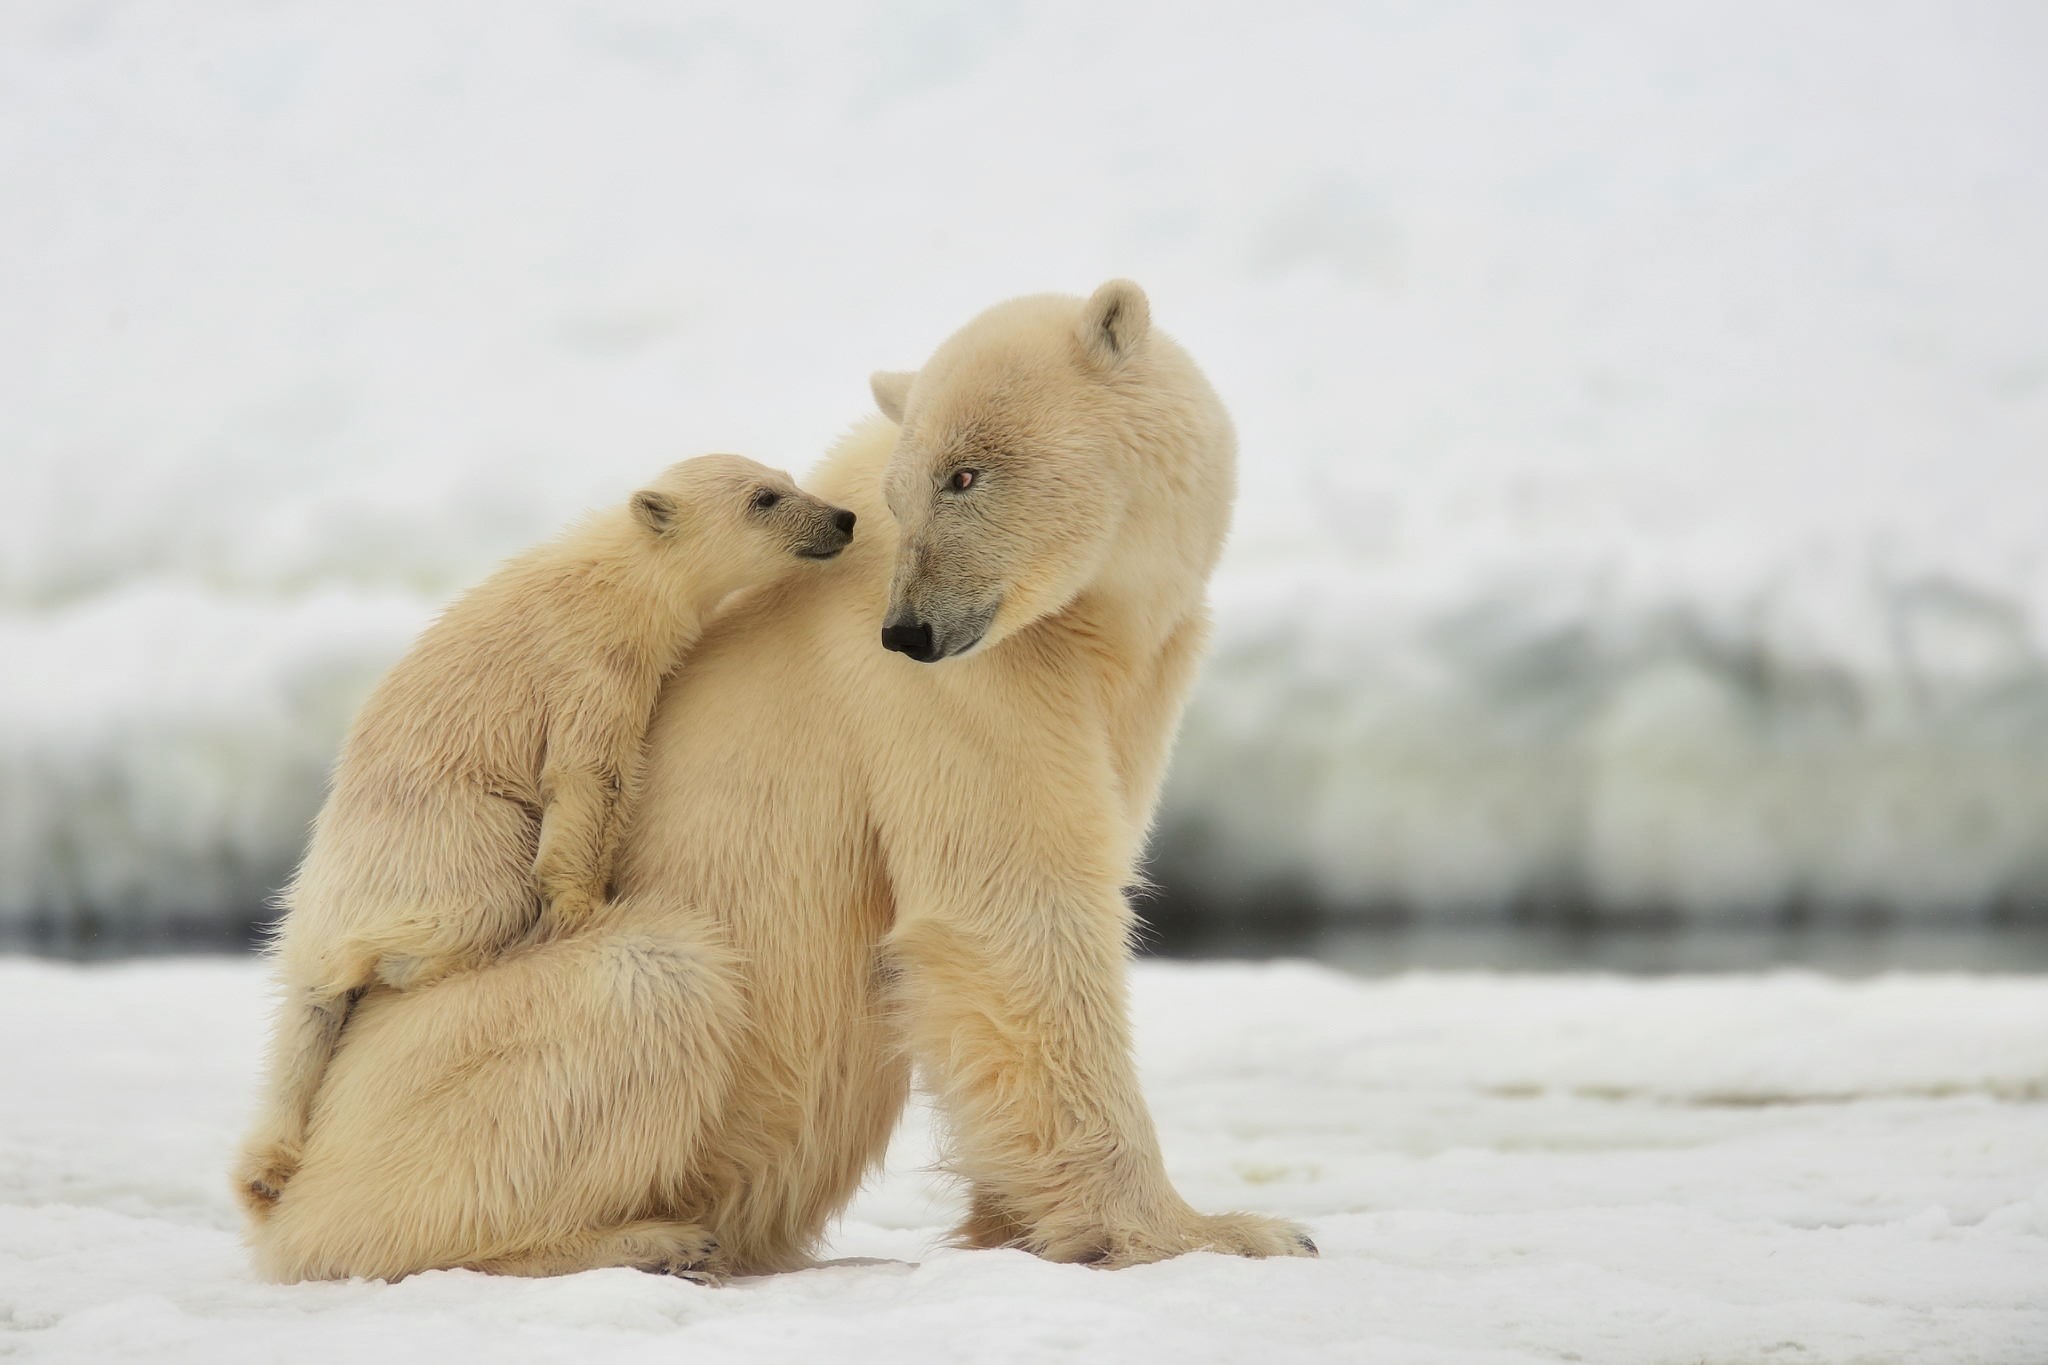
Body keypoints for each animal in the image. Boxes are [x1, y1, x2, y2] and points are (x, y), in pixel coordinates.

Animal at [232, 454, 856, 1220]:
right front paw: (585, 906)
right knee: (468, 902)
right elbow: (588, 774)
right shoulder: (589, 666)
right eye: (764, 499)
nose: (842, 518)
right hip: (446, 833)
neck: (618, 576)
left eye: (788, 478)